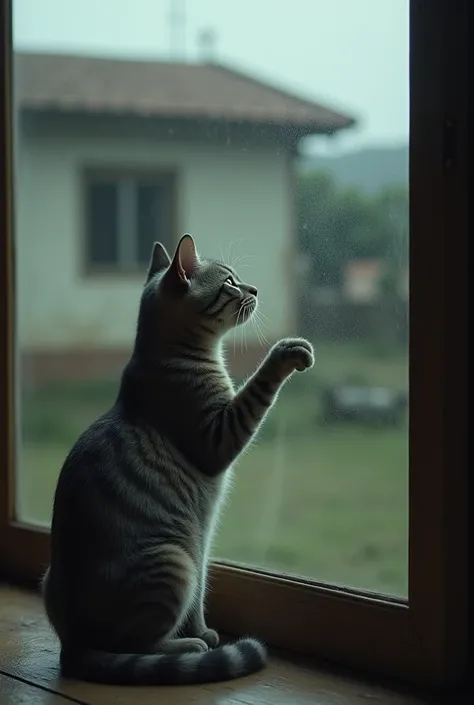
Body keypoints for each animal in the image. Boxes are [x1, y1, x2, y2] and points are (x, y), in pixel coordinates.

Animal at [41, 234, 314, 684]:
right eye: (230, 282)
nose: (255, 290)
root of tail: (72, 646)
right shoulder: (218, 440)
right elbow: (259, 384)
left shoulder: (203, 542)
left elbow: (202, 593)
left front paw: (201, 629)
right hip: (174, 559)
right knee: (137, 645)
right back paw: (186, 647)